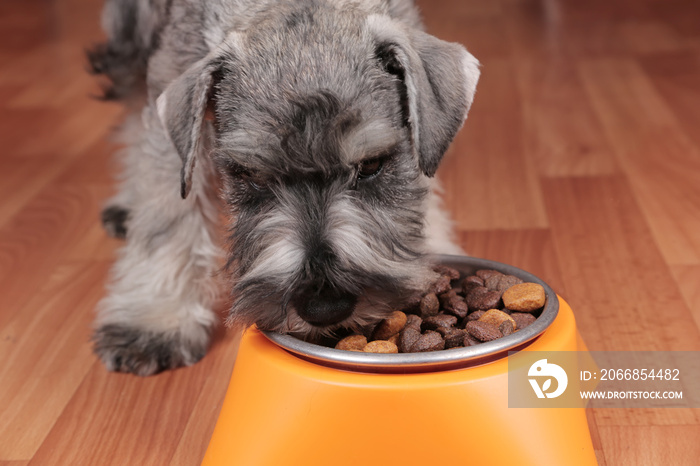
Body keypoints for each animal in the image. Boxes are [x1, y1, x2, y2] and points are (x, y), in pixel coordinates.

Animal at [87, 0, 478, 374]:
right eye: (253, 176)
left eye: (371, 165)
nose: (324, 306)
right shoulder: (172, 125)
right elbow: (168, 217)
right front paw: (154, 322)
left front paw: (435, 244)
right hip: (131, 34)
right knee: (133, 107)